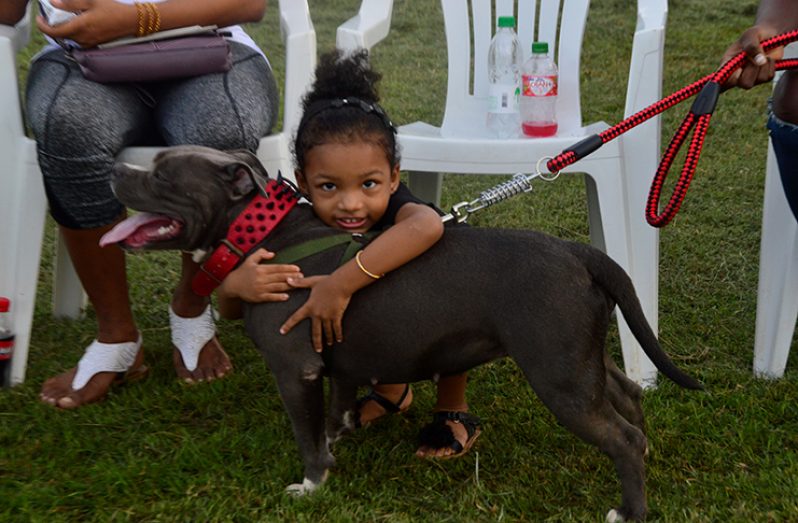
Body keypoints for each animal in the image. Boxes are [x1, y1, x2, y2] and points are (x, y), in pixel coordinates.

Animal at [103, 145, 704, 520]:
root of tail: (579, 252)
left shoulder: (294, 370)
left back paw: (630, 510)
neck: (263, 233)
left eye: (162, 174)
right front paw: (338, 438)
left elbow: (305, 436)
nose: (112, 167)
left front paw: (312, 484)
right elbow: (335, 408)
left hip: (559, 378)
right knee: (628, 395)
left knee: (620, 437)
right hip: (581, 358)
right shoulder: (333, 362)